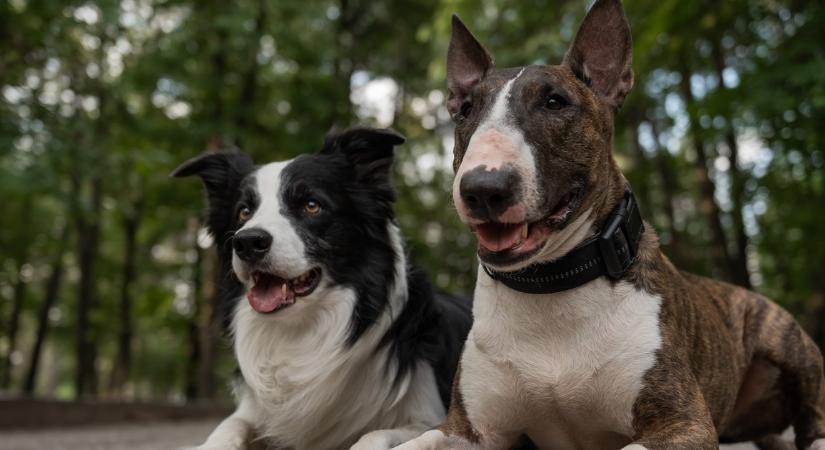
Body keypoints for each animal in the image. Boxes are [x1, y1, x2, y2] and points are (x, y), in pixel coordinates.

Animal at [173, 127, 470, 450]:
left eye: (311, 205)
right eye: (244, 212)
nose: (248, 242)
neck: (300, 331)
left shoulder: (429, 414)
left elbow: (373, 435)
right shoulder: (253, 413)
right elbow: (227, 428)